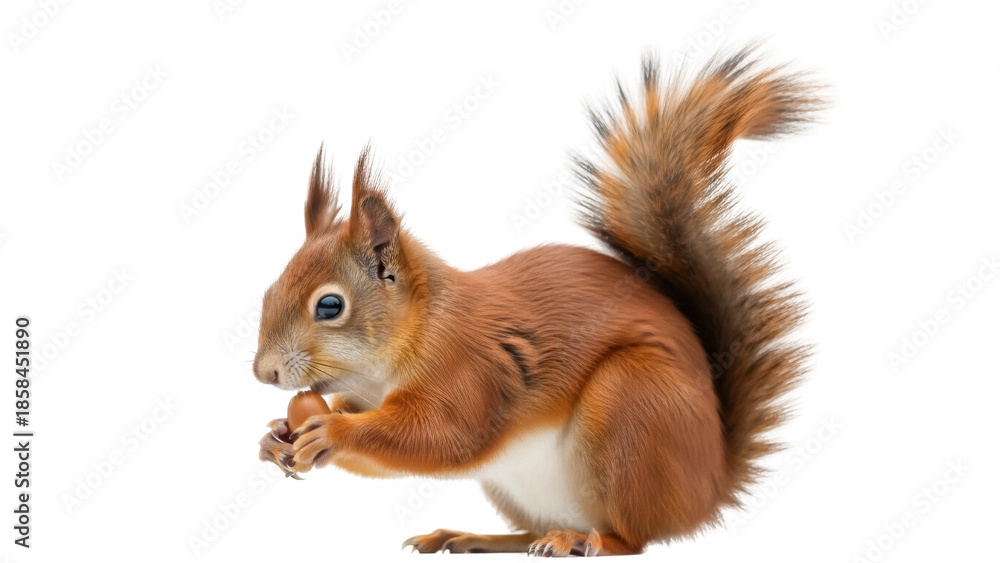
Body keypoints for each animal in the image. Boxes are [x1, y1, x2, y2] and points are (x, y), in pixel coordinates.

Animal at [254, 46, 821, 557]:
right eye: (268, 290)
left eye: (330, 306)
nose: (264, 373)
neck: (414, 336)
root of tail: (711, 487)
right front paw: (276, 436)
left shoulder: (473, 371)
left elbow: (442, 438)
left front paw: (332, 431)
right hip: (514, 487)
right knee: (532, 531)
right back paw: (471, 536)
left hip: (631, 404)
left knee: (633, 539)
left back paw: (582, 541)